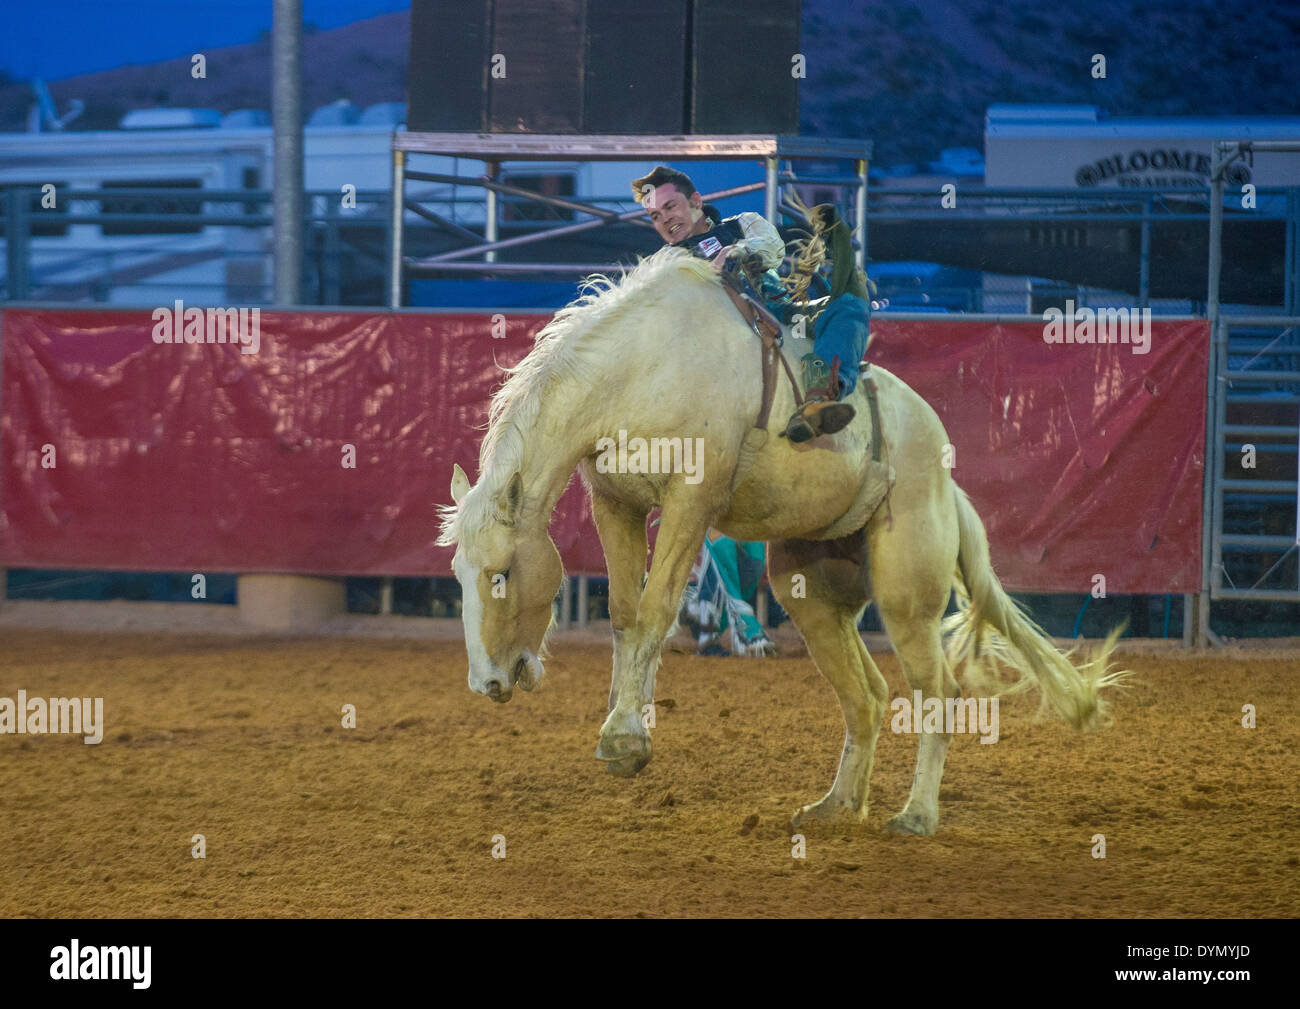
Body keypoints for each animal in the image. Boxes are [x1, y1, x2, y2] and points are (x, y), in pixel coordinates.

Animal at [437, 245, 1128, 836]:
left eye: (501, 573)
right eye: (460, 576)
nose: (486, 682)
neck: (644, 364)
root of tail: (943, 471)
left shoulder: (692, 497)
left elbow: (657, 608)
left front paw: (625, 735)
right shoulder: (616, 502)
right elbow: (626, 615)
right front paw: (623, 728)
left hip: (907, 595)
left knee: (940, 691)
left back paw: (916, 815)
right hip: (810, 591)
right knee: (868, 697)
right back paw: (836, 805)